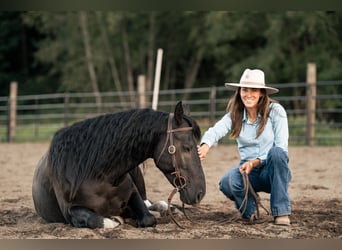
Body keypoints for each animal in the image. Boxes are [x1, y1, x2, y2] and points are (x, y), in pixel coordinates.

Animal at [31, 101, 206, 229]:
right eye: (187, 148)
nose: (200, 193)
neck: (99, 175)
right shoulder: (71, 212)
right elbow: (102, 221)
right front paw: (117, 218)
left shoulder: (134, 195)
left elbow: (147, 217)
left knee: (149, 202)